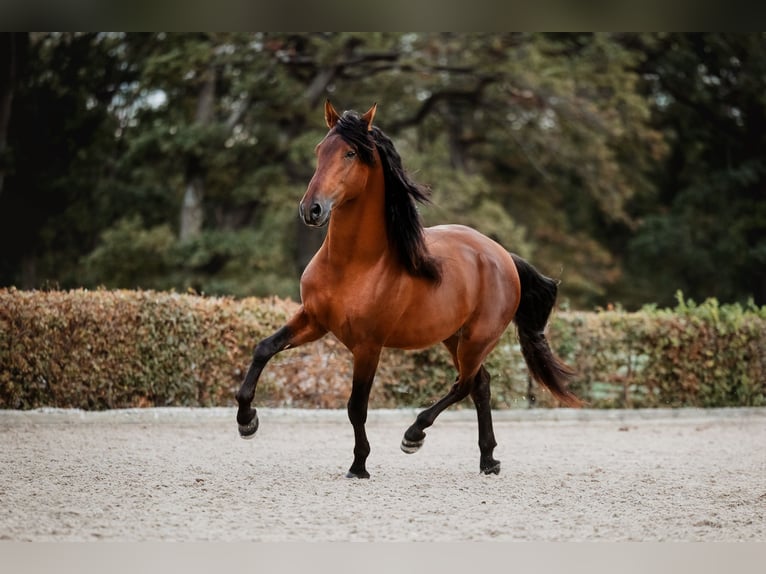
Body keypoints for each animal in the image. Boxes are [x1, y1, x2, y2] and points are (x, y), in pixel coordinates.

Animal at [236, 101, 584, 480]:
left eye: (350, 153)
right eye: (319, 150)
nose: (311, 209)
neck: (353, 264)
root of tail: (502, 255)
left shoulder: (368, 346)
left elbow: (356, 406)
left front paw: (359, 465)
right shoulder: (314, 321)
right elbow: (263, 348)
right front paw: (247, 421)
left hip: (478, 339)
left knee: (464, 384)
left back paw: (414, 435)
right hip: (453, 338)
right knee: (480, 384)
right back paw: (488, 460)